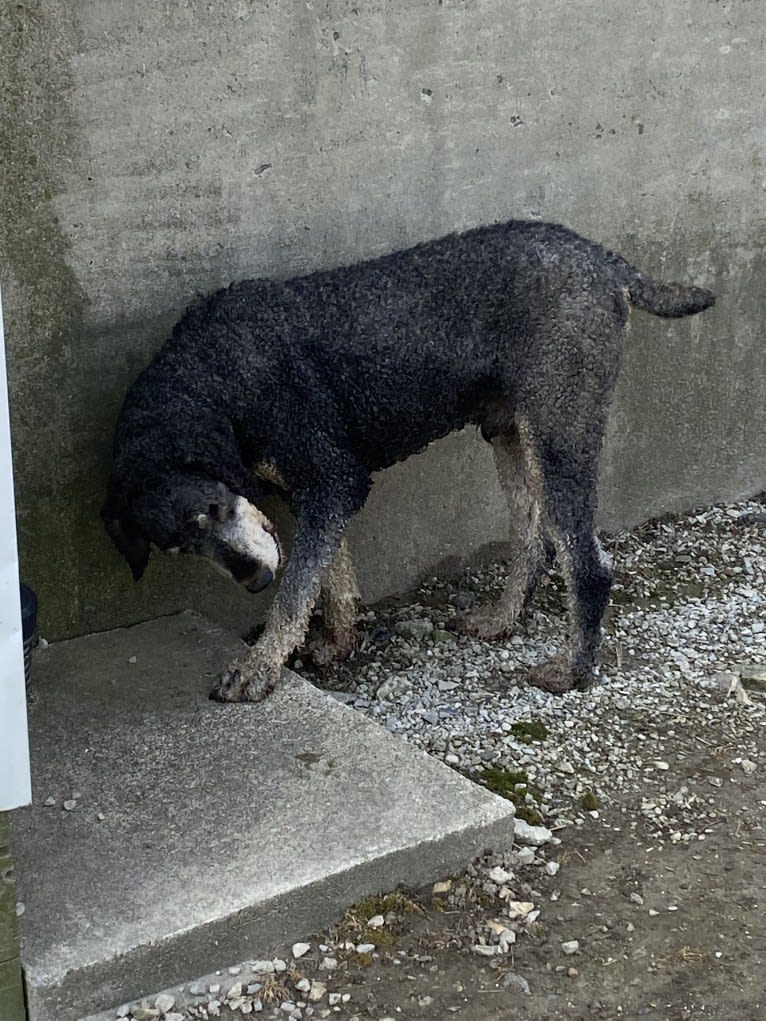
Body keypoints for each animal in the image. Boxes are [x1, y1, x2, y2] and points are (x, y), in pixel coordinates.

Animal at [100, 220, 714, 702]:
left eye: (213, 507)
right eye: (179, 546)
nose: (254, 580)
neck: (215, 374)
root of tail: (601, 258)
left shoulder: (331, 481)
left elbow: (297, 590)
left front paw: (258, 667)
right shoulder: (319, 492)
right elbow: (331, 578)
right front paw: (336, 641)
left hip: (563, 432)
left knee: (588, 564)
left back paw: (574, 669)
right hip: (514, 436)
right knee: (533, 539)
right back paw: (500, 619)